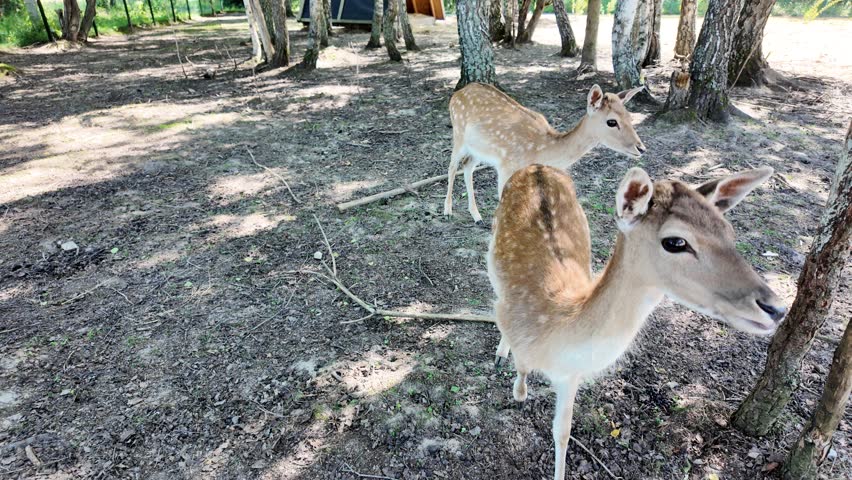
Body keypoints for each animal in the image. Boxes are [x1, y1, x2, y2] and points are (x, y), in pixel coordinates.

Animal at [444, 82, 647, 224]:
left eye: (629, 116)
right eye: (611, 122)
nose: (641, 148)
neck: (540, 149)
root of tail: (457, 93)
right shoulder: (506, 167)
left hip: (478, 150)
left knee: (467, 166)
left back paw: (476, 216)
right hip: (458, 133)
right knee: (452, 166)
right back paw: (448, 211)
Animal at [487, 164, 787, 480]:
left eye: (729, 232)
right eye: (675, 242)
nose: (776, 308)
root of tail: (537, 166)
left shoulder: (571, 376)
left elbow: (563, 432)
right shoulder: (511, 317)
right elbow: (521, 364)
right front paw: (518, 391)